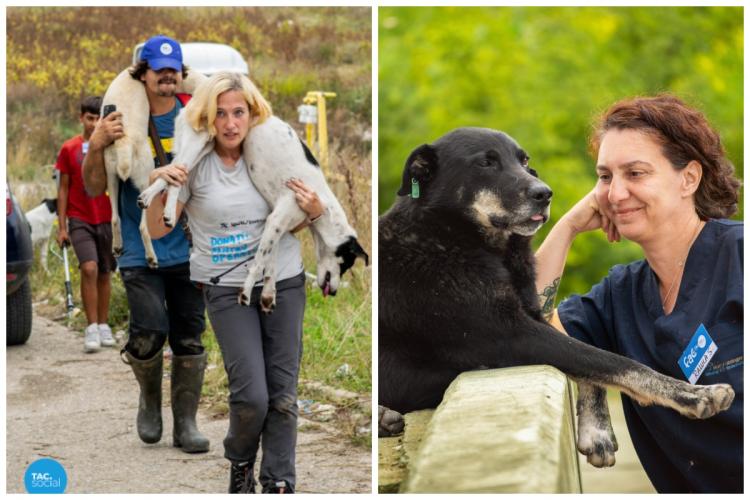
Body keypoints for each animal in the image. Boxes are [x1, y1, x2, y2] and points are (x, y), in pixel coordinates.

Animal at [378, 127, 736, 466]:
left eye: (524, 161)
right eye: (486, 163)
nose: (544, 193)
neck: (453, 236)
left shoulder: (533, 318)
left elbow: (592, 359)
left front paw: (597, 431)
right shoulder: (510, 333)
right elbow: (612, 360)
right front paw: (695, 395)